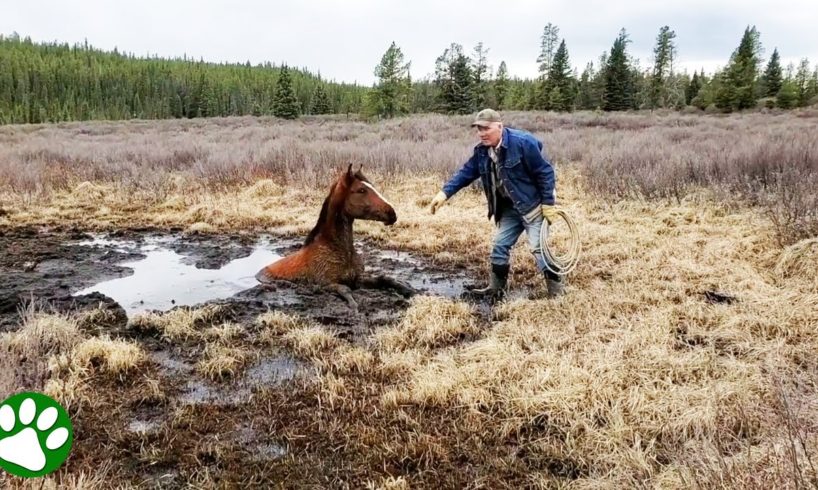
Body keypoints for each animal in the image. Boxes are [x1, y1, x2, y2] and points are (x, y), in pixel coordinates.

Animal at [255, 165, 414, 310]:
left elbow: (385, 279)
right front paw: (353, 305)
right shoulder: (326, 284)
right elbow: (344, 289)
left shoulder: (357, 279)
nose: (392, 213)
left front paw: (408, 290)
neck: (338, 250)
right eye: (361, 190)